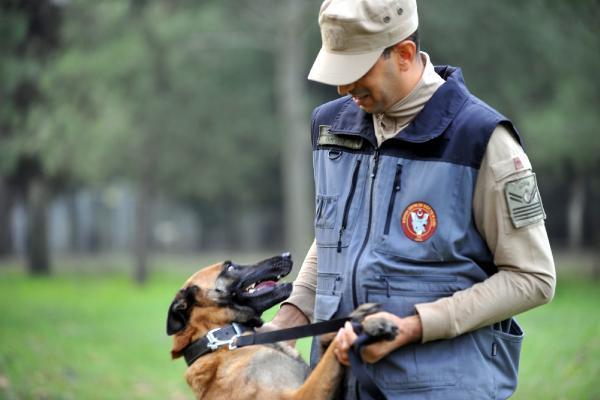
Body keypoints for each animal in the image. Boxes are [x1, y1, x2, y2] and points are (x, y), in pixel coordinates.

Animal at [166, 253, 396, 400]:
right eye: (229, 267)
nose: (287, 255)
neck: (226, 337)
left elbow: (326, 340)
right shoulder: (301, 396)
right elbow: (333, 349)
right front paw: (368, 322)